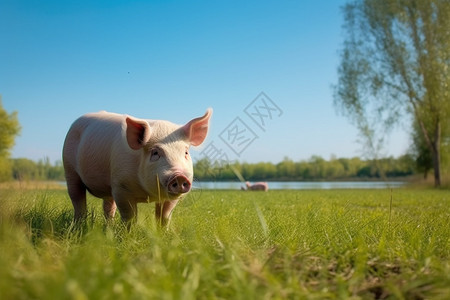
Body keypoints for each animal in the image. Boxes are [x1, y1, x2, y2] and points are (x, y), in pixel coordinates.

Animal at [62, 109, 212, 226]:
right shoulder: (121, 187)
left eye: (185, 152)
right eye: (155, 153)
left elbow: (164, 216)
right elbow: (130, 217)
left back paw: (108, 227)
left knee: (108, 206)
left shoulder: (171, 198)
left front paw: (163, 235)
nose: (179, 176)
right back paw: (79, 226)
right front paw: (128, 236)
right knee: (77, 199)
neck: (147, 195)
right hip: (69, 168)